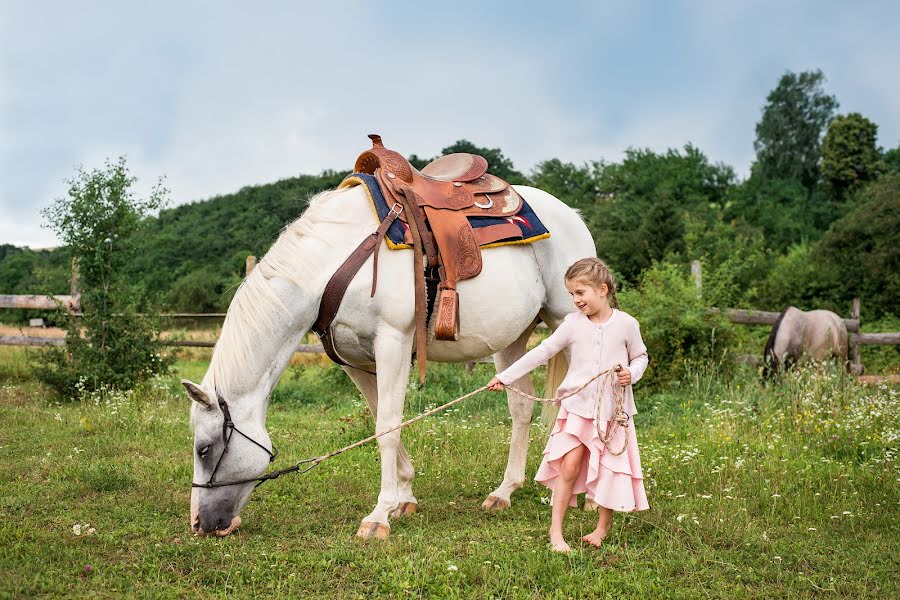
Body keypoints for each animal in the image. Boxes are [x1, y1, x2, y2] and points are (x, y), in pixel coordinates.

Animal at [183, 180, 596, 536]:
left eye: (204, 449)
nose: (200, 524)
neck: (337, 261)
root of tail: (571, 214)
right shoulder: (355, 362)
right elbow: (382, 421)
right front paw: (403, 499)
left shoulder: (393, 342)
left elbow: (387, 427)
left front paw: (379, 516)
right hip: (513, 341)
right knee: (521, 408)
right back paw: (505, 491)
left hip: (571, 323)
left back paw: (583, 496)